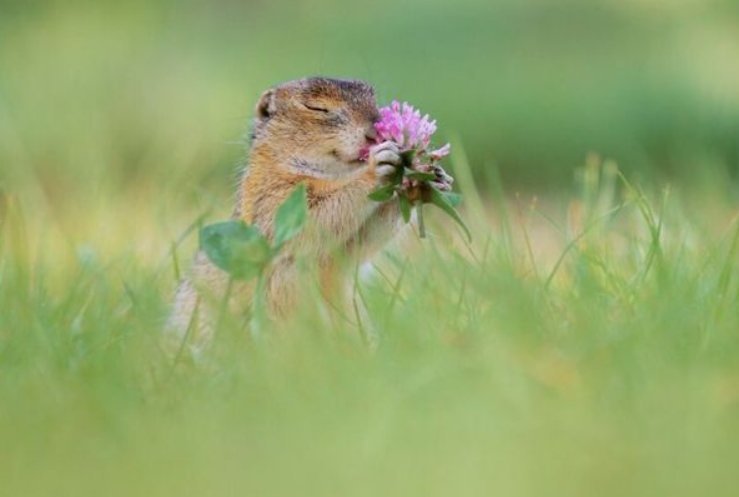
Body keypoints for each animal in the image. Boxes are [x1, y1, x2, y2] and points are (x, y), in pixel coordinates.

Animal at [167, 77, 408, 348]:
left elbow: (362, 240)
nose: (374, 133)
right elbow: (319, 215)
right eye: (316, 108)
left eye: (373, 99)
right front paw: (377, 166)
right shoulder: (274, 197)